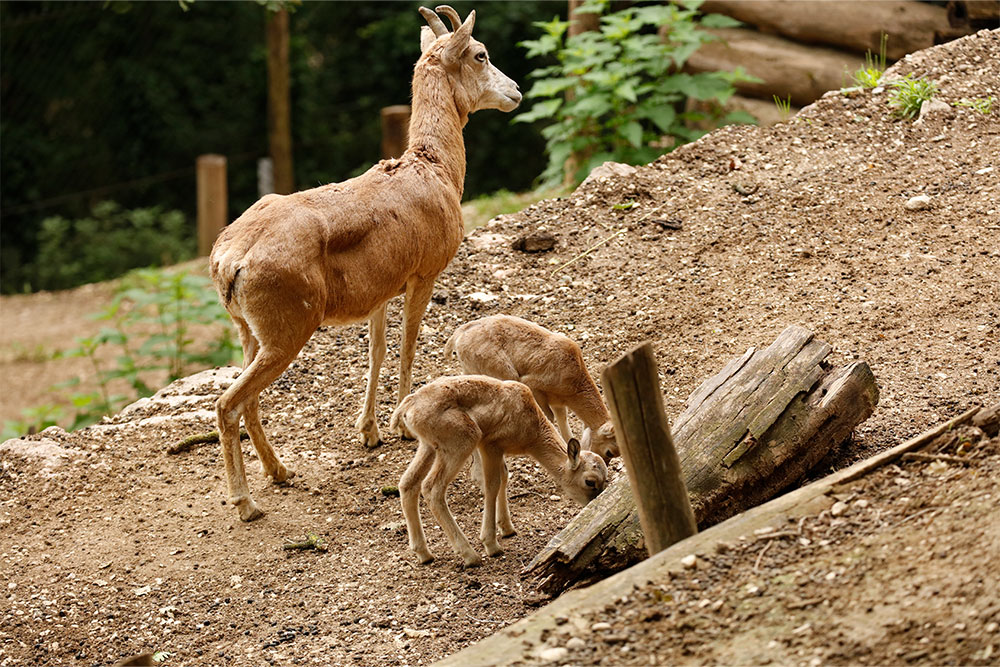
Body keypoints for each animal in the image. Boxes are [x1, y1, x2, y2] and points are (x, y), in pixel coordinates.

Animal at [207, 7, 520, 524]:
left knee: (248, 401)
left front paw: (369, 430)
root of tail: (230, 260)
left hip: (248, 331)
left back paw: (281, 472)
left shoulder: (380, 292)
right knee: (230, 403)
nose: (515, 91)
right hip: (285, 332)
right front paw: (401, 425)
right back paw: (246, 503)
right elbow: (409, 344)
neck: (436, 172)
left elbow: (376, 350)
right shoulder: (423, 275)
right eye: (480, 53)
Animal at [390, 374, 608, 568]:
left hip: (429, 446)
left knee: (408, 484)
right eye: (590, 481)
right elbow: (492, 484)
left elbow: (504, 477)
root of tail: (407, 407)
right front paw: (492, 545)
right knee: (431, 488)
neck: (532, 430)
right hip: (462, 441)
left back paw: (424, 554)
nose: (592, 503)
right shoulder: (490, 445)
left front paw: (507, 528)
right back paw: (470, 556)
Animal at [444, 314, 616, 462]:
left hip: (470, 370)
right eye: (610, 452)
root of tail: (459, 335)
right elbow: (549, 416)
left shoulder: (558, 403)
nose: (605, 463)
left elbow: (563, 420)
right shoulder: (534, 386)